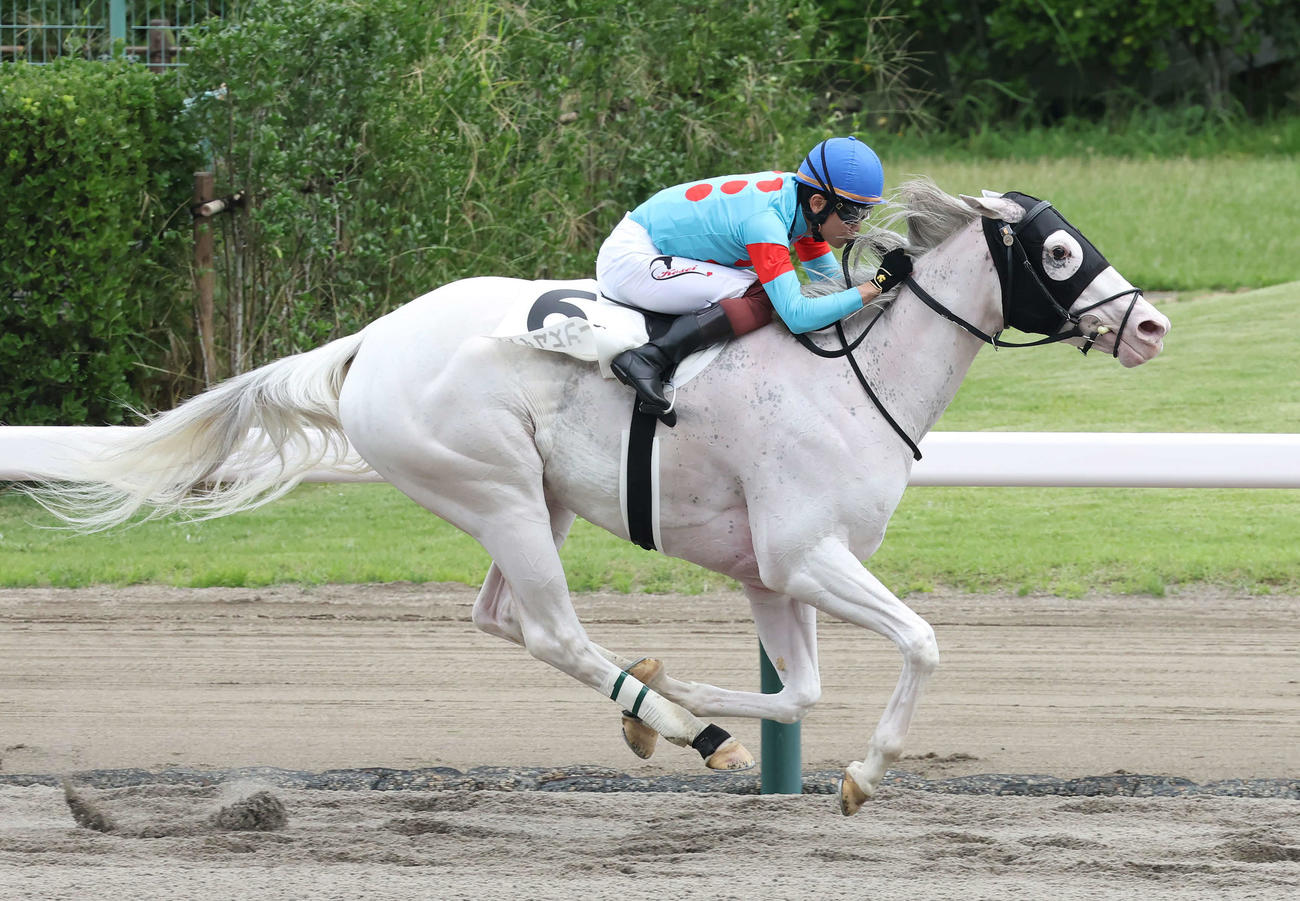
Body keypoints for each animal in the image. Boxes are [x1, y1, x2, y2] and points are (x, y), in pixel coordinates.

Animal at [33, 181, 1170, 815]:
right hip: (493, 486)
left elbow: (799, 692)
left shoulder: (771, 571)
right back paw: (674, 724)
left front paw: (697, 691)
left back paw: (667, 710)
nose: (1151, 326)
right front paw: (858, 772)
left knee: (502, 617)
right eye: (1058, 250)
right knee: (550, 630)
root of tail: (371, 341)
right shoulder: (805, 553)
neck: (856, 375)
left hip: (534, 500)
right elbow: (922, 643)